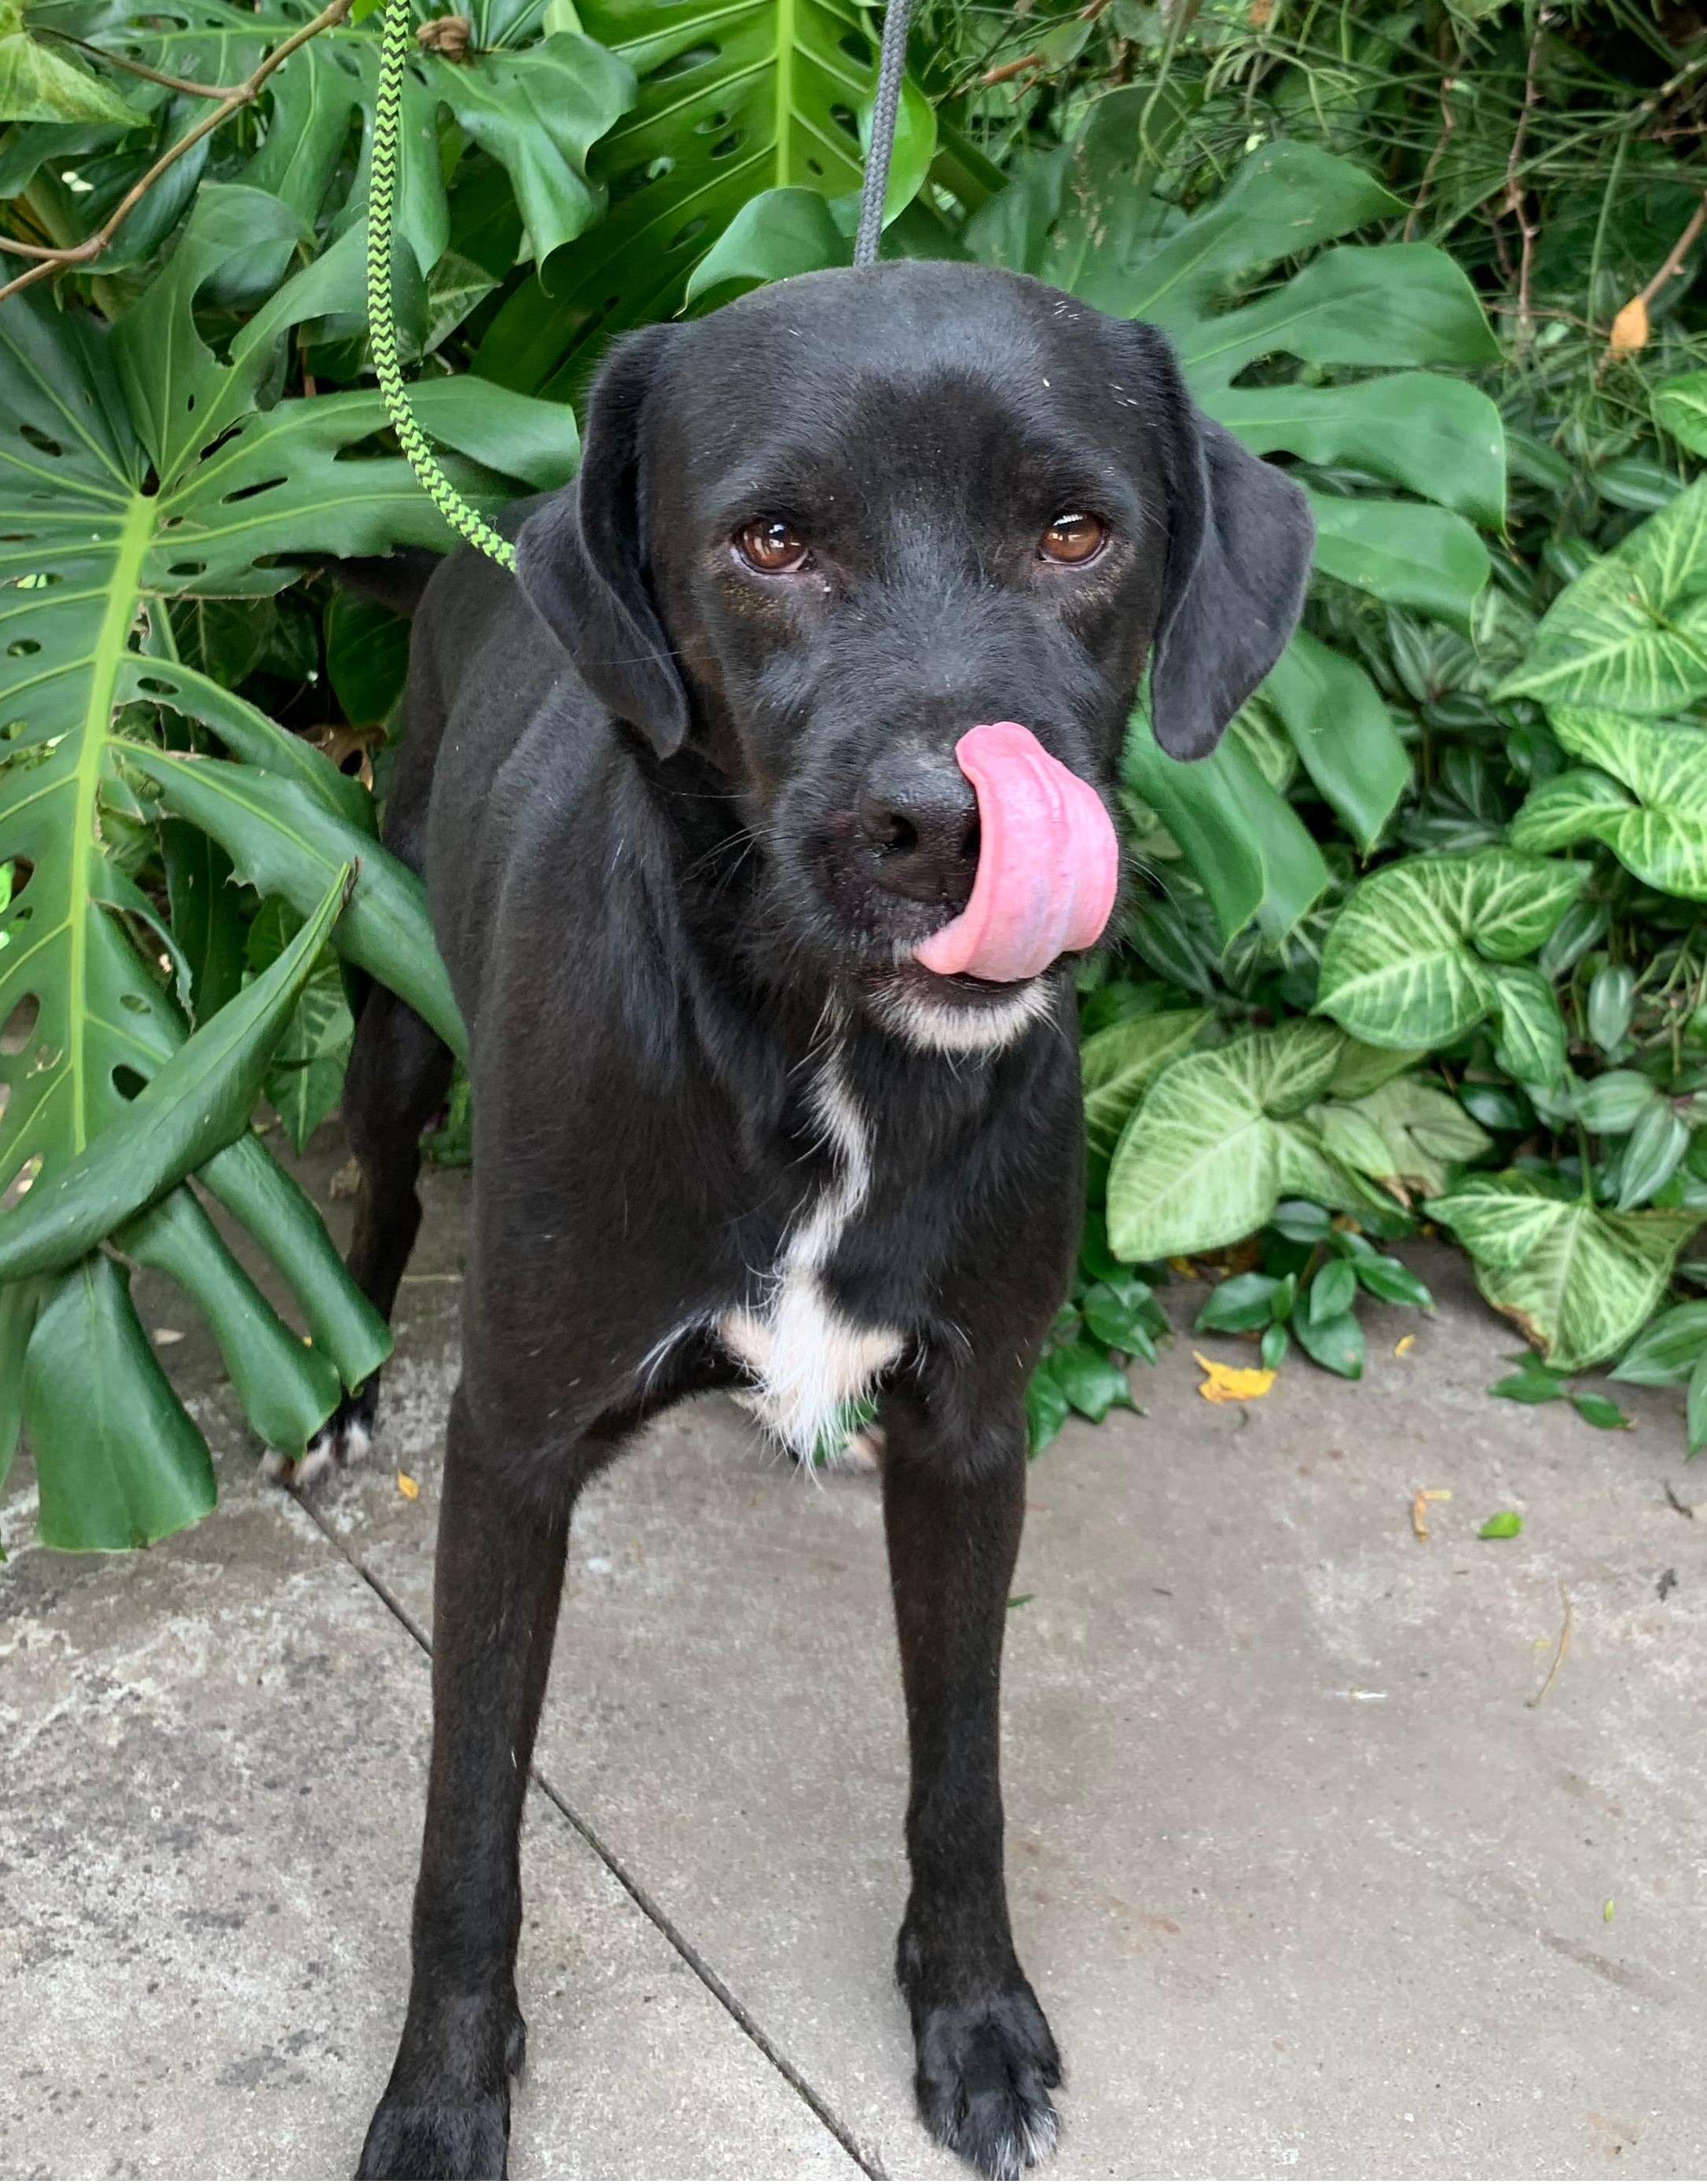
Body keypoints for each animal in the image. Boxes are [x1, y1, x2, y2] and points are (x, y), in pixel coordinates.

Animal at [316, 259, 1309, 2184]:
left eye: (1077, 531)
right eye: (770, 542)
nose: (949, 825)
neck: (827, 1051)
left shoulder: (976, 1432)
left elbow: (962, 1769)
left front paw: (973, 2017)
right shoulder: (511, 1449)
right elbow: (468, 1816)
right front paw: (445, 2092)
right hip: (390, 1000)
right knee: (375, 1187)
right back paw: (329, 1389)